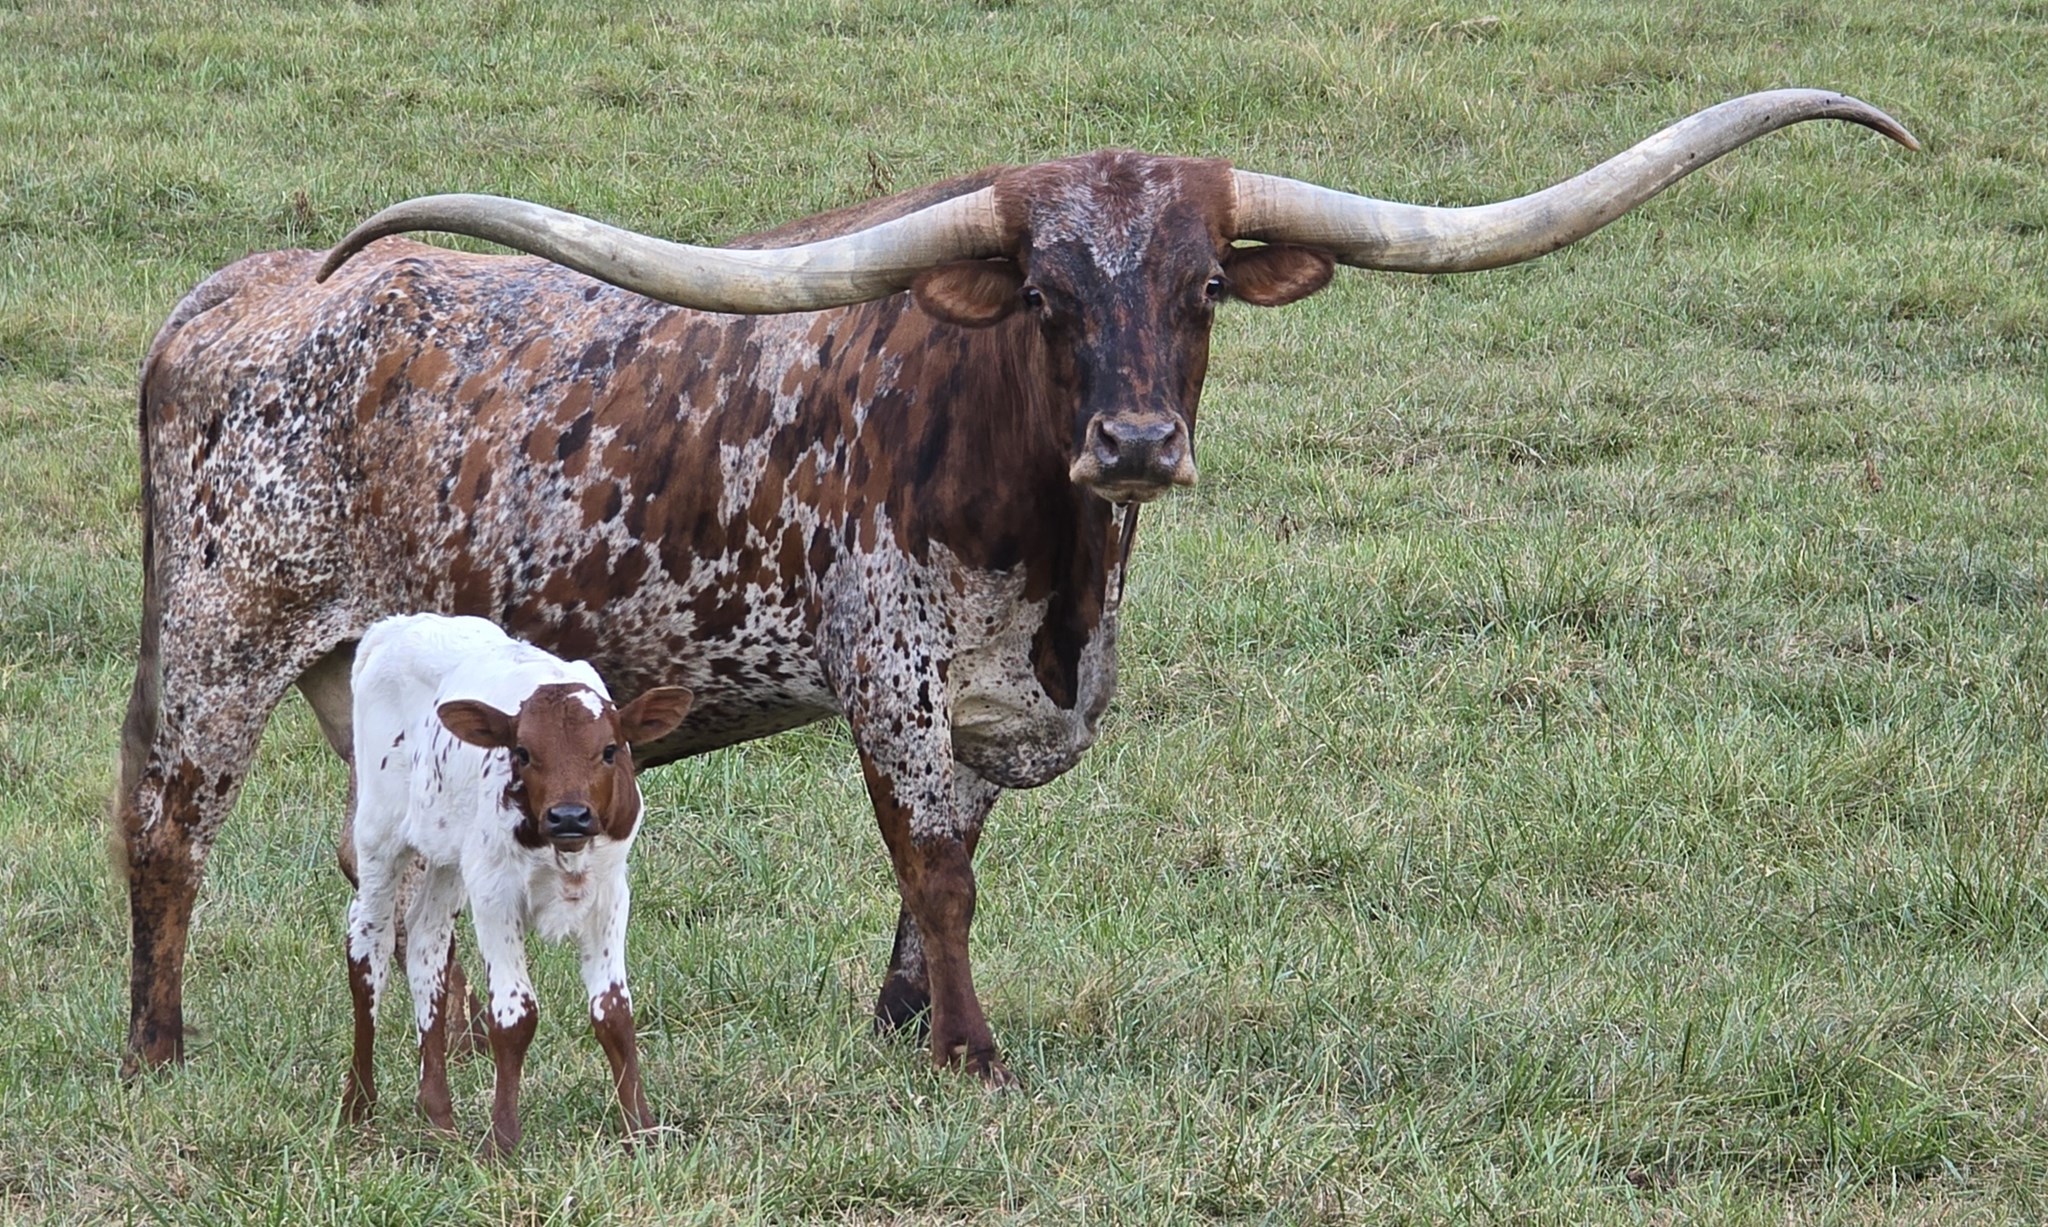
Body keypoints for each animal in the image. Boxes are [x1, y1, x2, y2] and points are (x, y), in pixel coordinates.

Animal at [118, 90, 1915, 1085]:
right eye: (1045, 293)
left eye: (1203, 290)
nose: (1134, 440)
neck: (1058, 565)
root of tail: (239, 294)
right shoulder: (891, 672)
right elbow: (935, 861)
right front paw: (975, 1055)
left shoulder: (990, 696)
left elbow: (950, 870)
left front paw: (904, 1027)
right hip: (219, 640)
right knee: (162, 827)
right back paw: (157, 1045)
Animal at [342, 613, 692, 1156]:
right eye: (523, 753)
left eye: (609, 751)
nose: (569, 816)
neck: (564, 852)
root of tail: (397, 624)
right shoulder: (494, 891)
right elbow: (514, 1016)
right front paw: (502, 1142)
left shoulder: (611, 890)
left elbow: (614, 1013)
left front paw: (641, 1129)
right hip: (380, 831)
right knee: (369, 947)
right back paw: (358, 1108)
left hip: (447, 853)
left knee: (425, 943)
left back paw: (438, 1119)